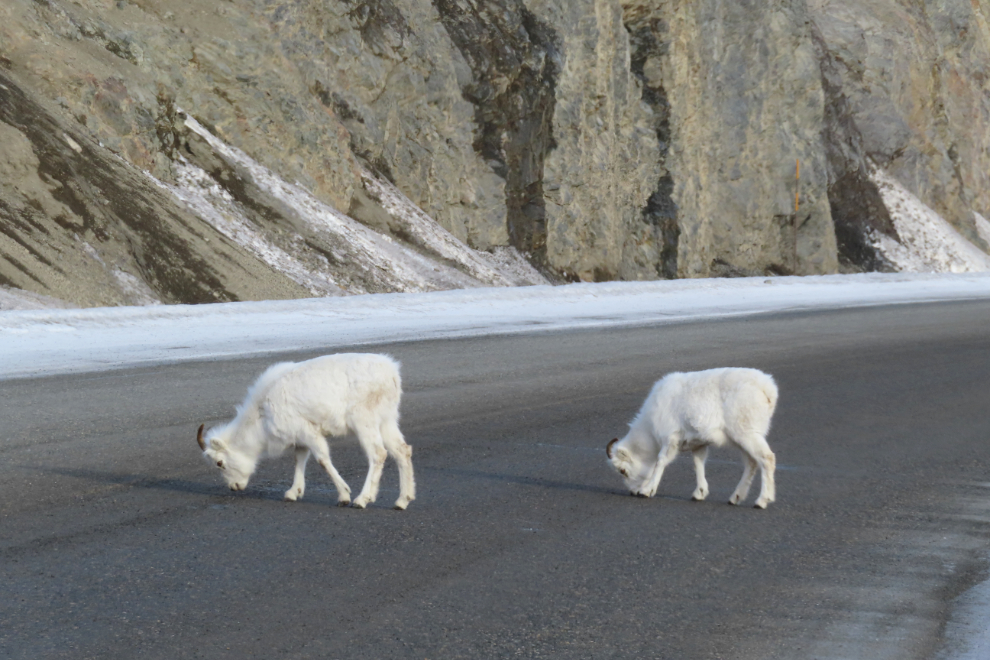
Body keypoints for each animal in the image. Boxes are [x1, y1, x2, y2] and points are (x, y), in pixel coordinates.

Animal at [196, 353, 415, 510]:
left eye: (219, 463)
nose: (234, 487)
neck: (261, 414)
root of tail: (392, 373)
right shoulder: (300, 439)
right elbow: (299, 459)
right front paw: (293, 493)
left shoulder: (309, 433)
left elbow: (323, 460)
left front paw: (344, 496)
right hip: (387, 421)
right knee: (402, 450)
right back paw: (402, 501)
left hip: (364, 422)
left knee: (378, 454)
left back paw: (362, 500)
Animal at [606, 368, 778, 508]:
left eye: (622, 470)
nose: (633, 492)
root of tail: (767, 389)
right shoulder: (698, 445)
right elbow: (698, 464)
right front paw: (699, 494)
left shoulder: (670, 439)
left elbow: (661, 461)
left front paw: (646, 491)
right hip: (742, 439)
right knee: (751, 462)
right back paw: (735, 498)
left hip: (747, 434)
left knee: (767, 458)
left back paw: (762, 501)